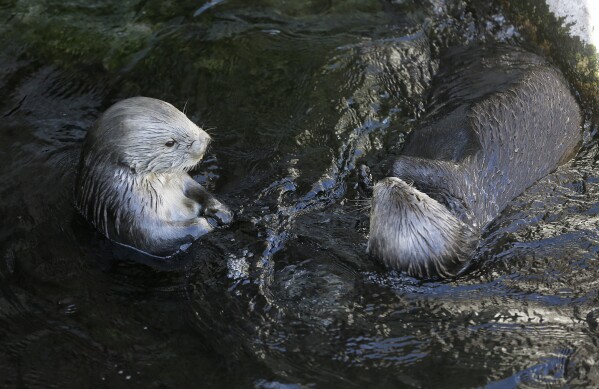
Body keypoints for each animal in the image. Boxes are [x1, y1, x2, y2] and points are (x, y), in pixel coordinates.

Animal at [74, 96, 232, 256]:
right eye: (170, 143)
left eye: (185, 116)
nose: (205, 141)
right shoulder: (127, 211)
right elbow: (156, 238)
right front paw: (207, 223)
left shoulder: (182, 179)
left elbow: (198, 190)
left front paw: (221, 211)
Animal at [368, 45, 584, 278]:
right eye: (375, 210)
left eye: (415, 197)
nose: (389, 183)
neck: (465, 203)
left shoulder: (455, 181)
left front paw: (380, 167)